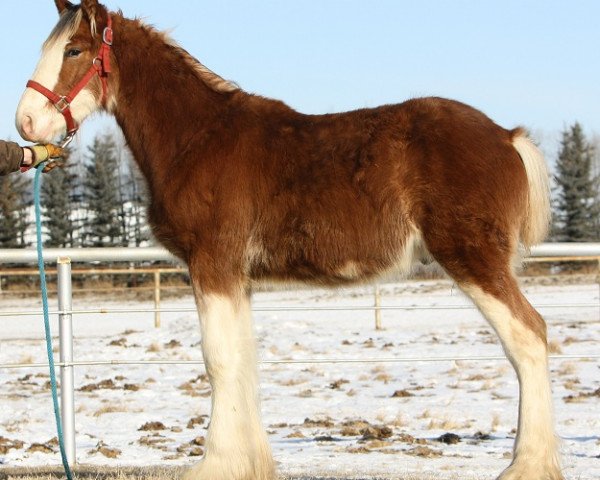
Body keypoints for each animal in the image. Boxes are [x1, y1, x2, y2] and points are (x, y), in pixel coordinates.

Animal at [16, 0, 564, 480]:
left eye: (73, 50)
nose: (25, 122)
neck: (197, 138)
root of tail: (507, 137)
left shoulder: (212, 264)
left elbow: (218, 361)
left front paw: (215, 465)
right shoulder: (237, 278)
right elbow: (241, 360)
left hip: (473, 258)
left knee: (529, 336)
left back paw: (527, 466)